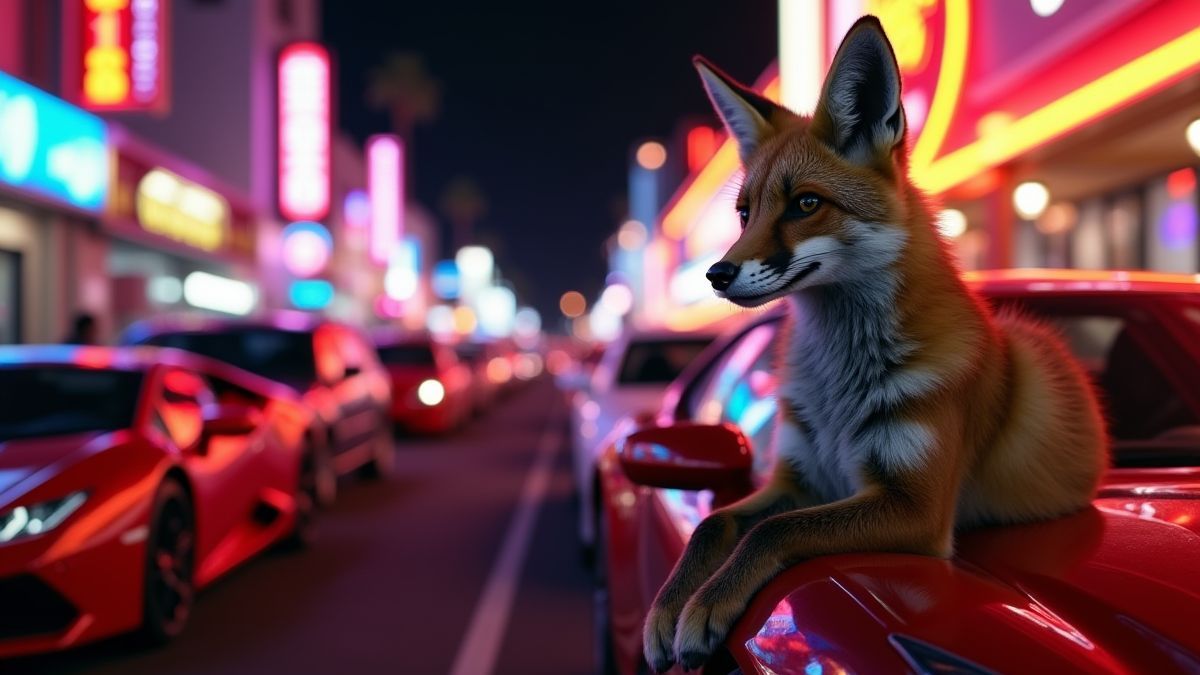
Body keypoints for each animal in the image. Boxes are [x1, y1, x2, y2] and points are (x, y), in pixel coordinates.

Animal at [642, 16, 1108, 673]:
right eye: (744, 213)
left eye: (806, 203)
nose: (715, 274)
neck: (840, 387)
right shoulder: (798, 480)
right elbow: (714, 524)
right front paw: (670, 603)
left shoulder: (915, 507)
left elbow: (771, 533)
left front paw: (705, 605)